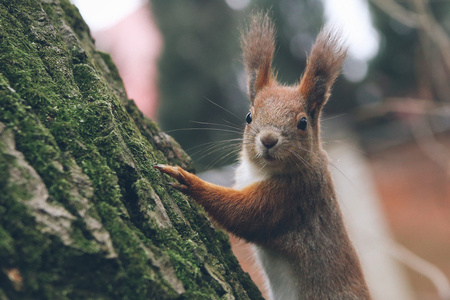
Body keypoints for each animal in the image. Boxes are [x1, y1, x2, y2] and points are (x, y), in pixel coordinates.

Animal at [154, 11, 370, 300]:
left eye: (303, 122)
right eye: (249, 116)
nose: (268, 140)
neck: (259, 171)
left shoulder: (292, 198)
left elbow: (244, 215)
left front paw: (187, 180)